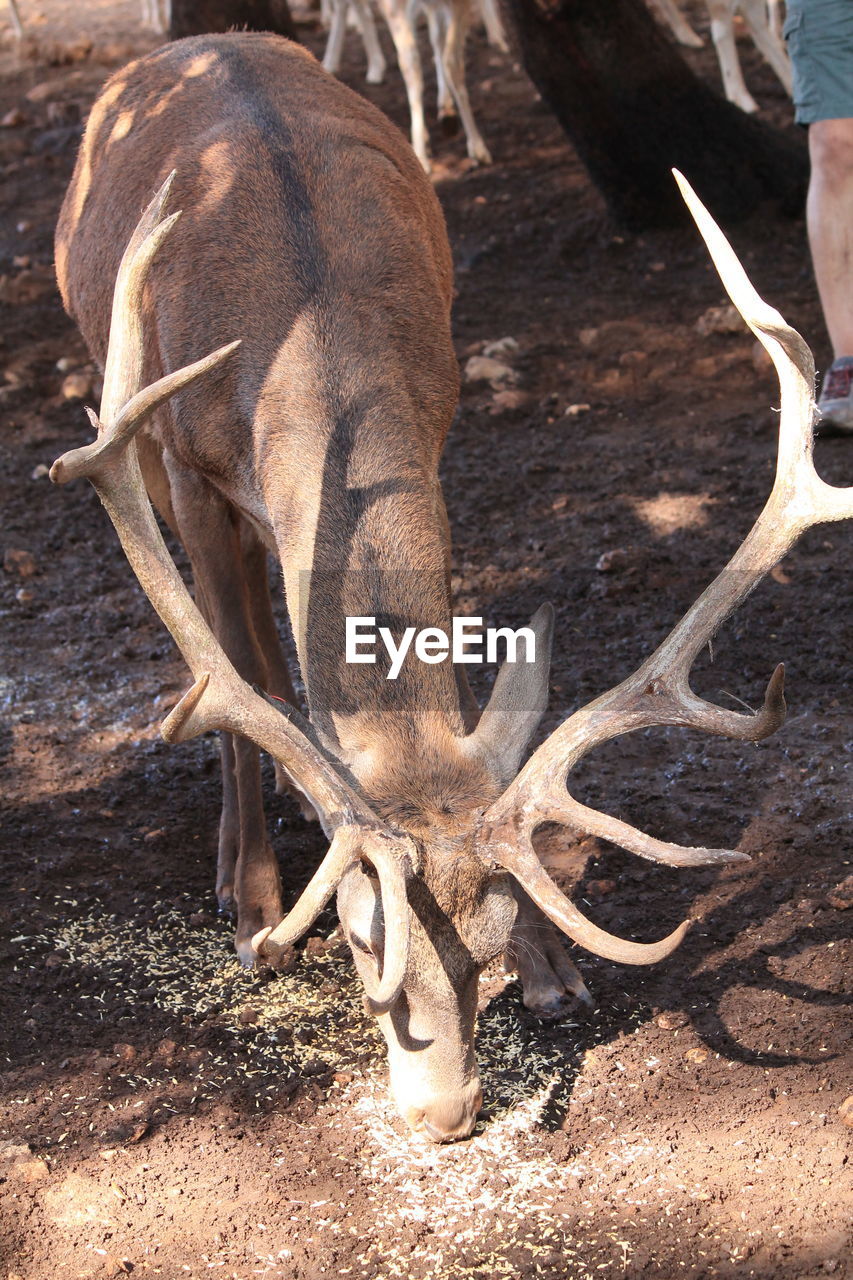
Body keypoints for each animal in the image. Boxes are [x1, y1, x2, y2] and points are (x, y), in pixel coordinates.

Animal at [54, 35, 850, 1146]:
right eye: (357, 935)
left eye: (499, 929)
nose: (444, 1111)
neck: (304, 328)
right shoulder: (181, 460)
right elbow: (238, 675)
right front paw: (257, 912)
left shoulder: (434, 426)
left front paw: (556, 972)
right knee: (242, 640)